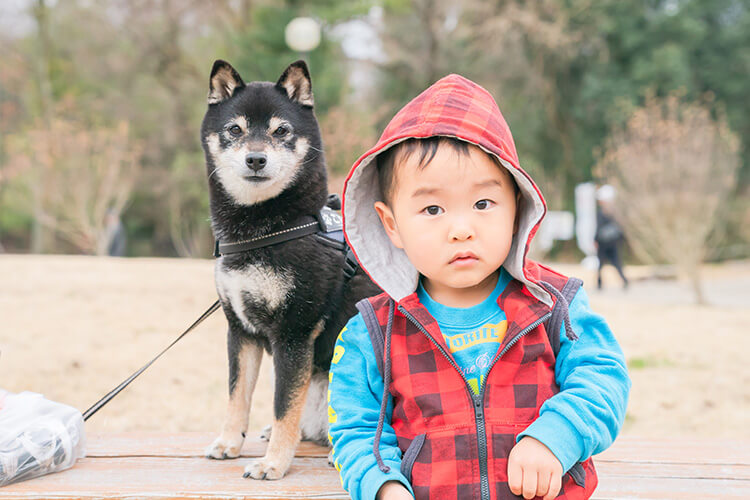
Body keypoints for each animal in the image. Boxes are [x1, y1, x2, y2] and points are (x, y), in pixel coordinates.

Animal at [201, 59, 378, 480]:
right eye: (235, 130)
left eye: (281, 131)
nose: (256, 159)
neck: (265, 231)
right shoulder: (241, 330)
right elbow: (237, 396)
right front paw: (230, 443)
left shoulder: (295, 333)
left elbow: (284, 406)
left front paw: (273, 464)